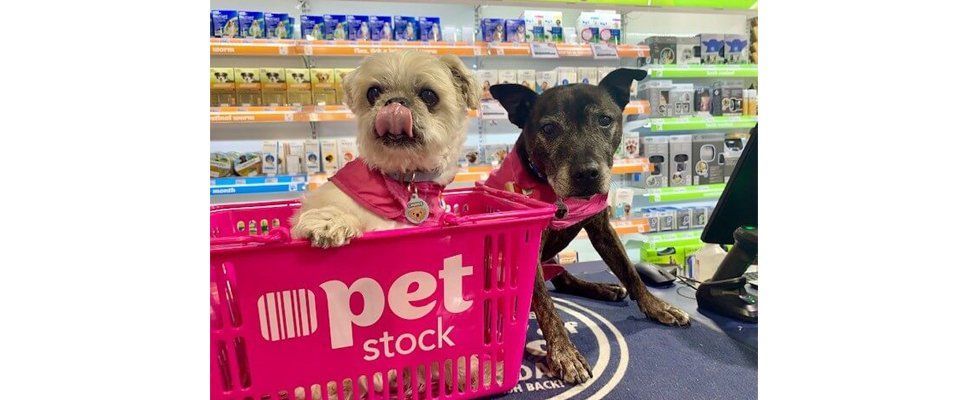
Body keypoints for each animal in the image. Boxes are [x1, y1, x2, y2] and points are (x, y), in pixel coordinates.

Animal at [290, 51, 480, 248]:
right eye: (373, 92)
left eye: (429, 95)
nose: (396, 102)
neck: (406, 177)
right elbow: (329, 208)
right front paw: (329, 223)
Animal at [486, 69, 691, 384]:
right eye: (548, 128)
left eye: (604, 120)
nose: (587, 174)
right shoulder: (529, 246)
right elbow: (546, 306)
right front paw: (564, 352)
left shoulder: (602, 228)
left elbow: (631, 272)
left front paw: (656, 305)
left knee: (563, 278)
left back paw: (604, 288)